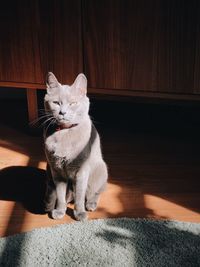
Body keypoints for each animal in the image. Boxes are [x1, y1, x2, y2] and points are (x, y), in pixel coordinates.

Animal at [43, 71, 108, 222]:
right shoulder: (57, 170)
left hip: (101, 169)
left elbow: (79, 195)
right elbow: (60, 194)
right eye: (56, 103)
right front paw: (60, 211)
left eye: (73, 103)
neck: (64, 132)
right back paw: (49, 203)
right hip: (48, 167)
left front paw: (80, 213)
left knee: (95, 192)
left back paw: (90, 204)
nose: (62, 112)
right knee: (53, 188)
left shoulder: (81, 171)